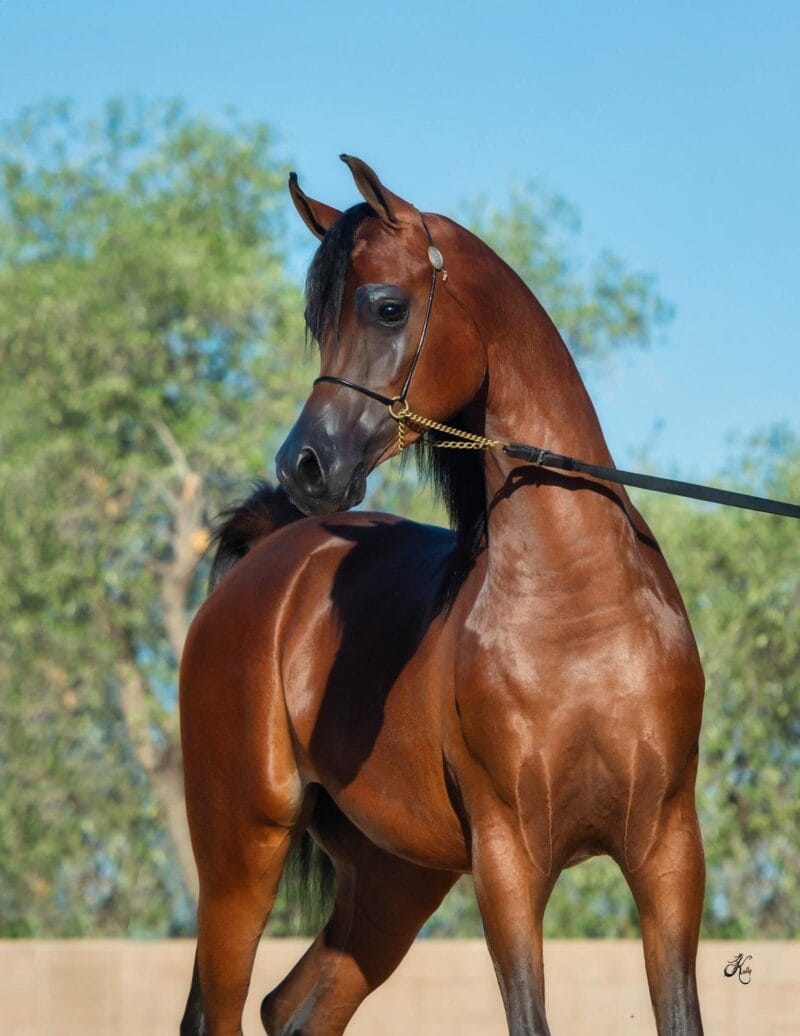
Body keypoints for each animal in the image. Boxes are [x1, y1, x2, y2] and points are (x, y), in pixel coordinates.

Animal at [179, 155, 706, 1035]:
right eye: (317, 321)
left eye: (388, 307)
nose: (305, 465)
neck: (579, 613)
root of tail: (273, 557)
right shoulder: (508, 861)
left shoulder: (667, 851)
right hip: (240, 851)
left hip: (395, 878)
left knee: (295, 1005)